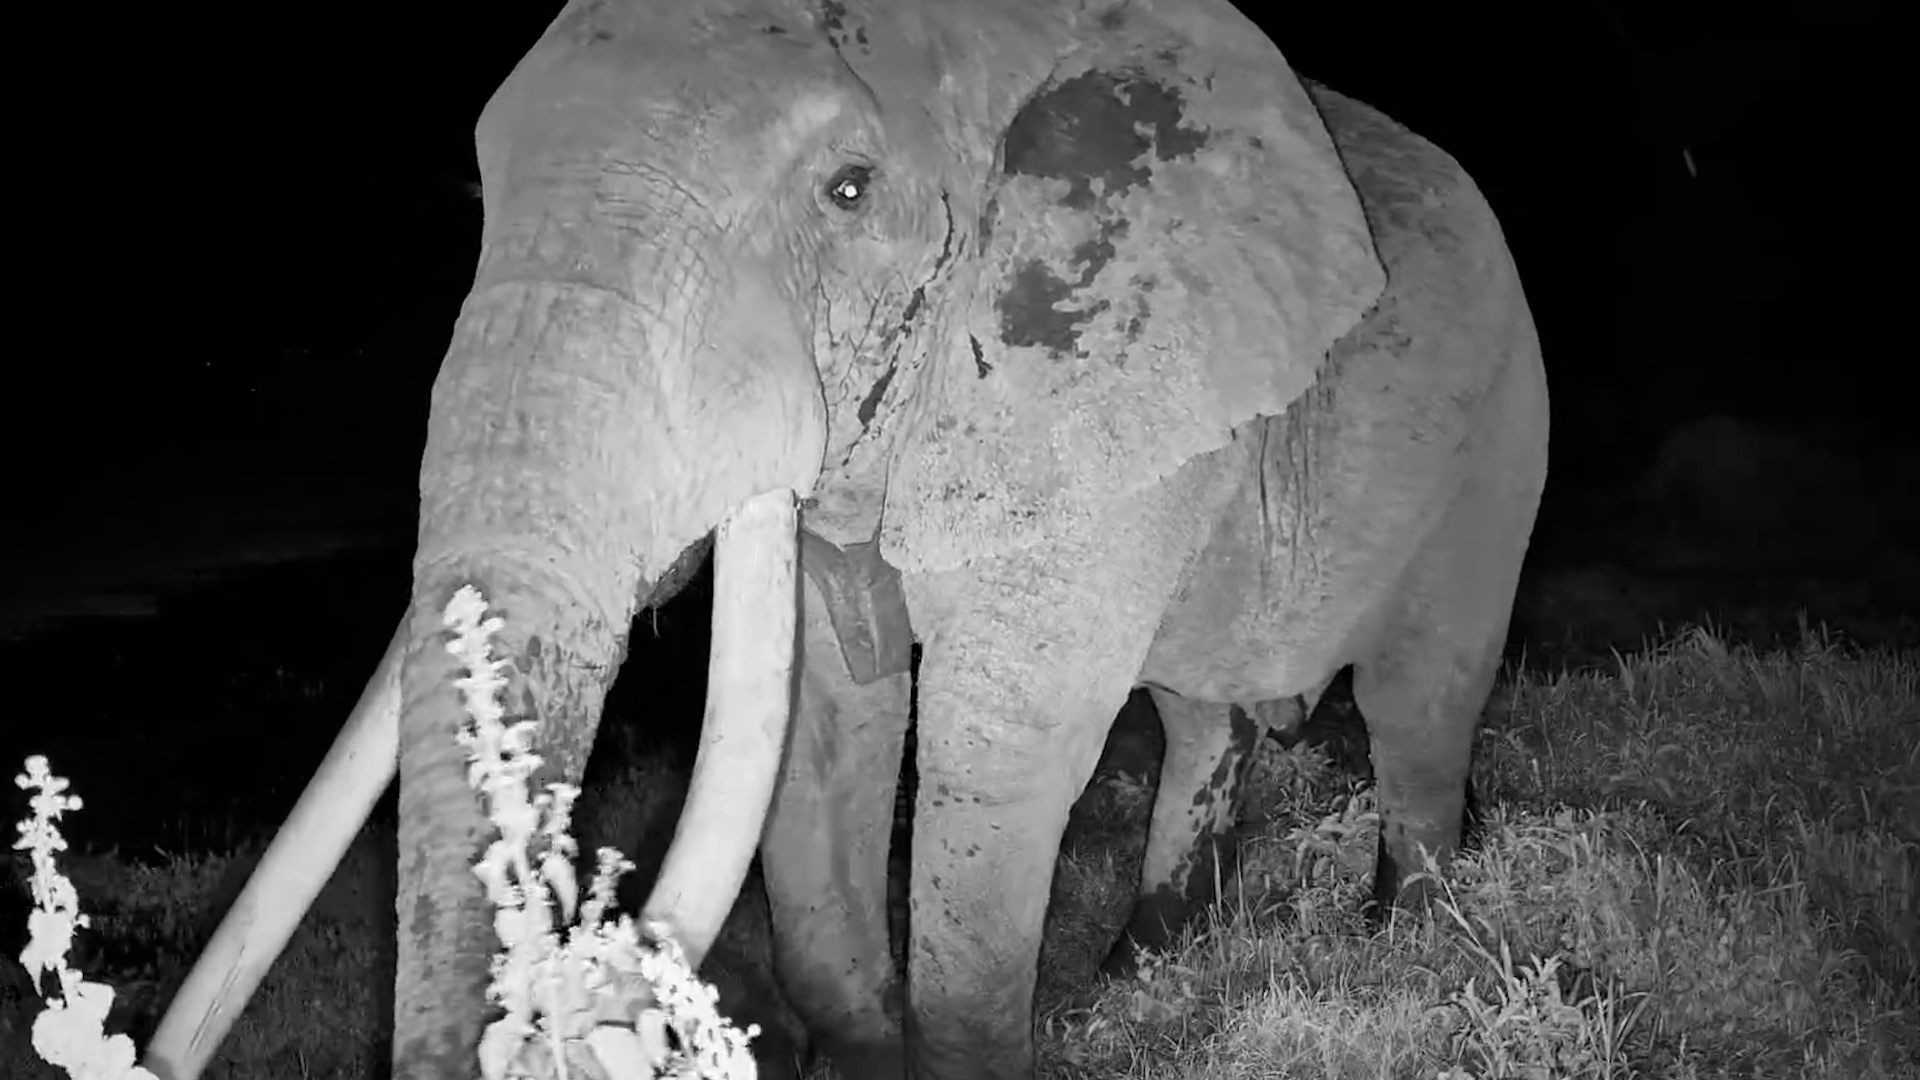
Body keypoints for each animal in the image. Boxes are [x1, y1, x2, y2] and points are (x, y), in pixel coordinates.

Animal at [141, 1, 1547, 1079]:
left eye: (850, 191)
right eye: (485, 191)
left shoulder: (1087, 373)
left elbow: (999, 751)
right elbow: (820, 736)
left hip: (1495, 437)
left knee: (1420, 702)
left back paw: (1413, 939)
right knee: (1201, 716)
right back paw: (1138, 968)